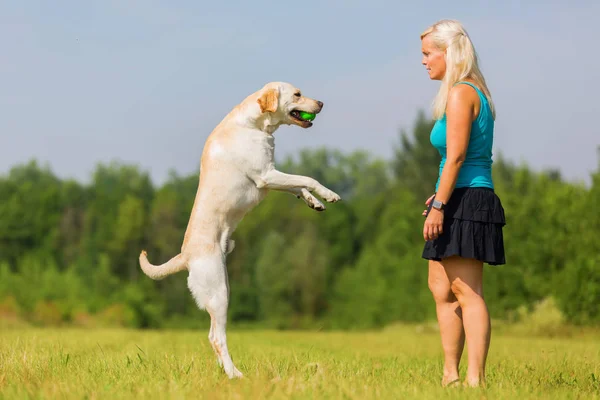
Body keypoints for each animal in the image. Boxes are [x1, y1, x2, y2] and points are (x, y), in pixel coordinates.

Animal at [138, 81, 340, 378]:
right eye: (297, 94)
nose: (322, 103)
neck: (254, 124)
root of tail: (185, 256)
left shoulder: (271, 177)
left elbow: (297, 186)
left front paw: (314, 202)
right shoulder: (266, 175)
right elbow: (307, 178)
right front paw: (328, 194)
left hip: (222, 289)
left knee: (213, 335)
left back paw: (227, 371)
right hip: (218, 293)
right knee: (216, 337)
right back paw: (235, 375)